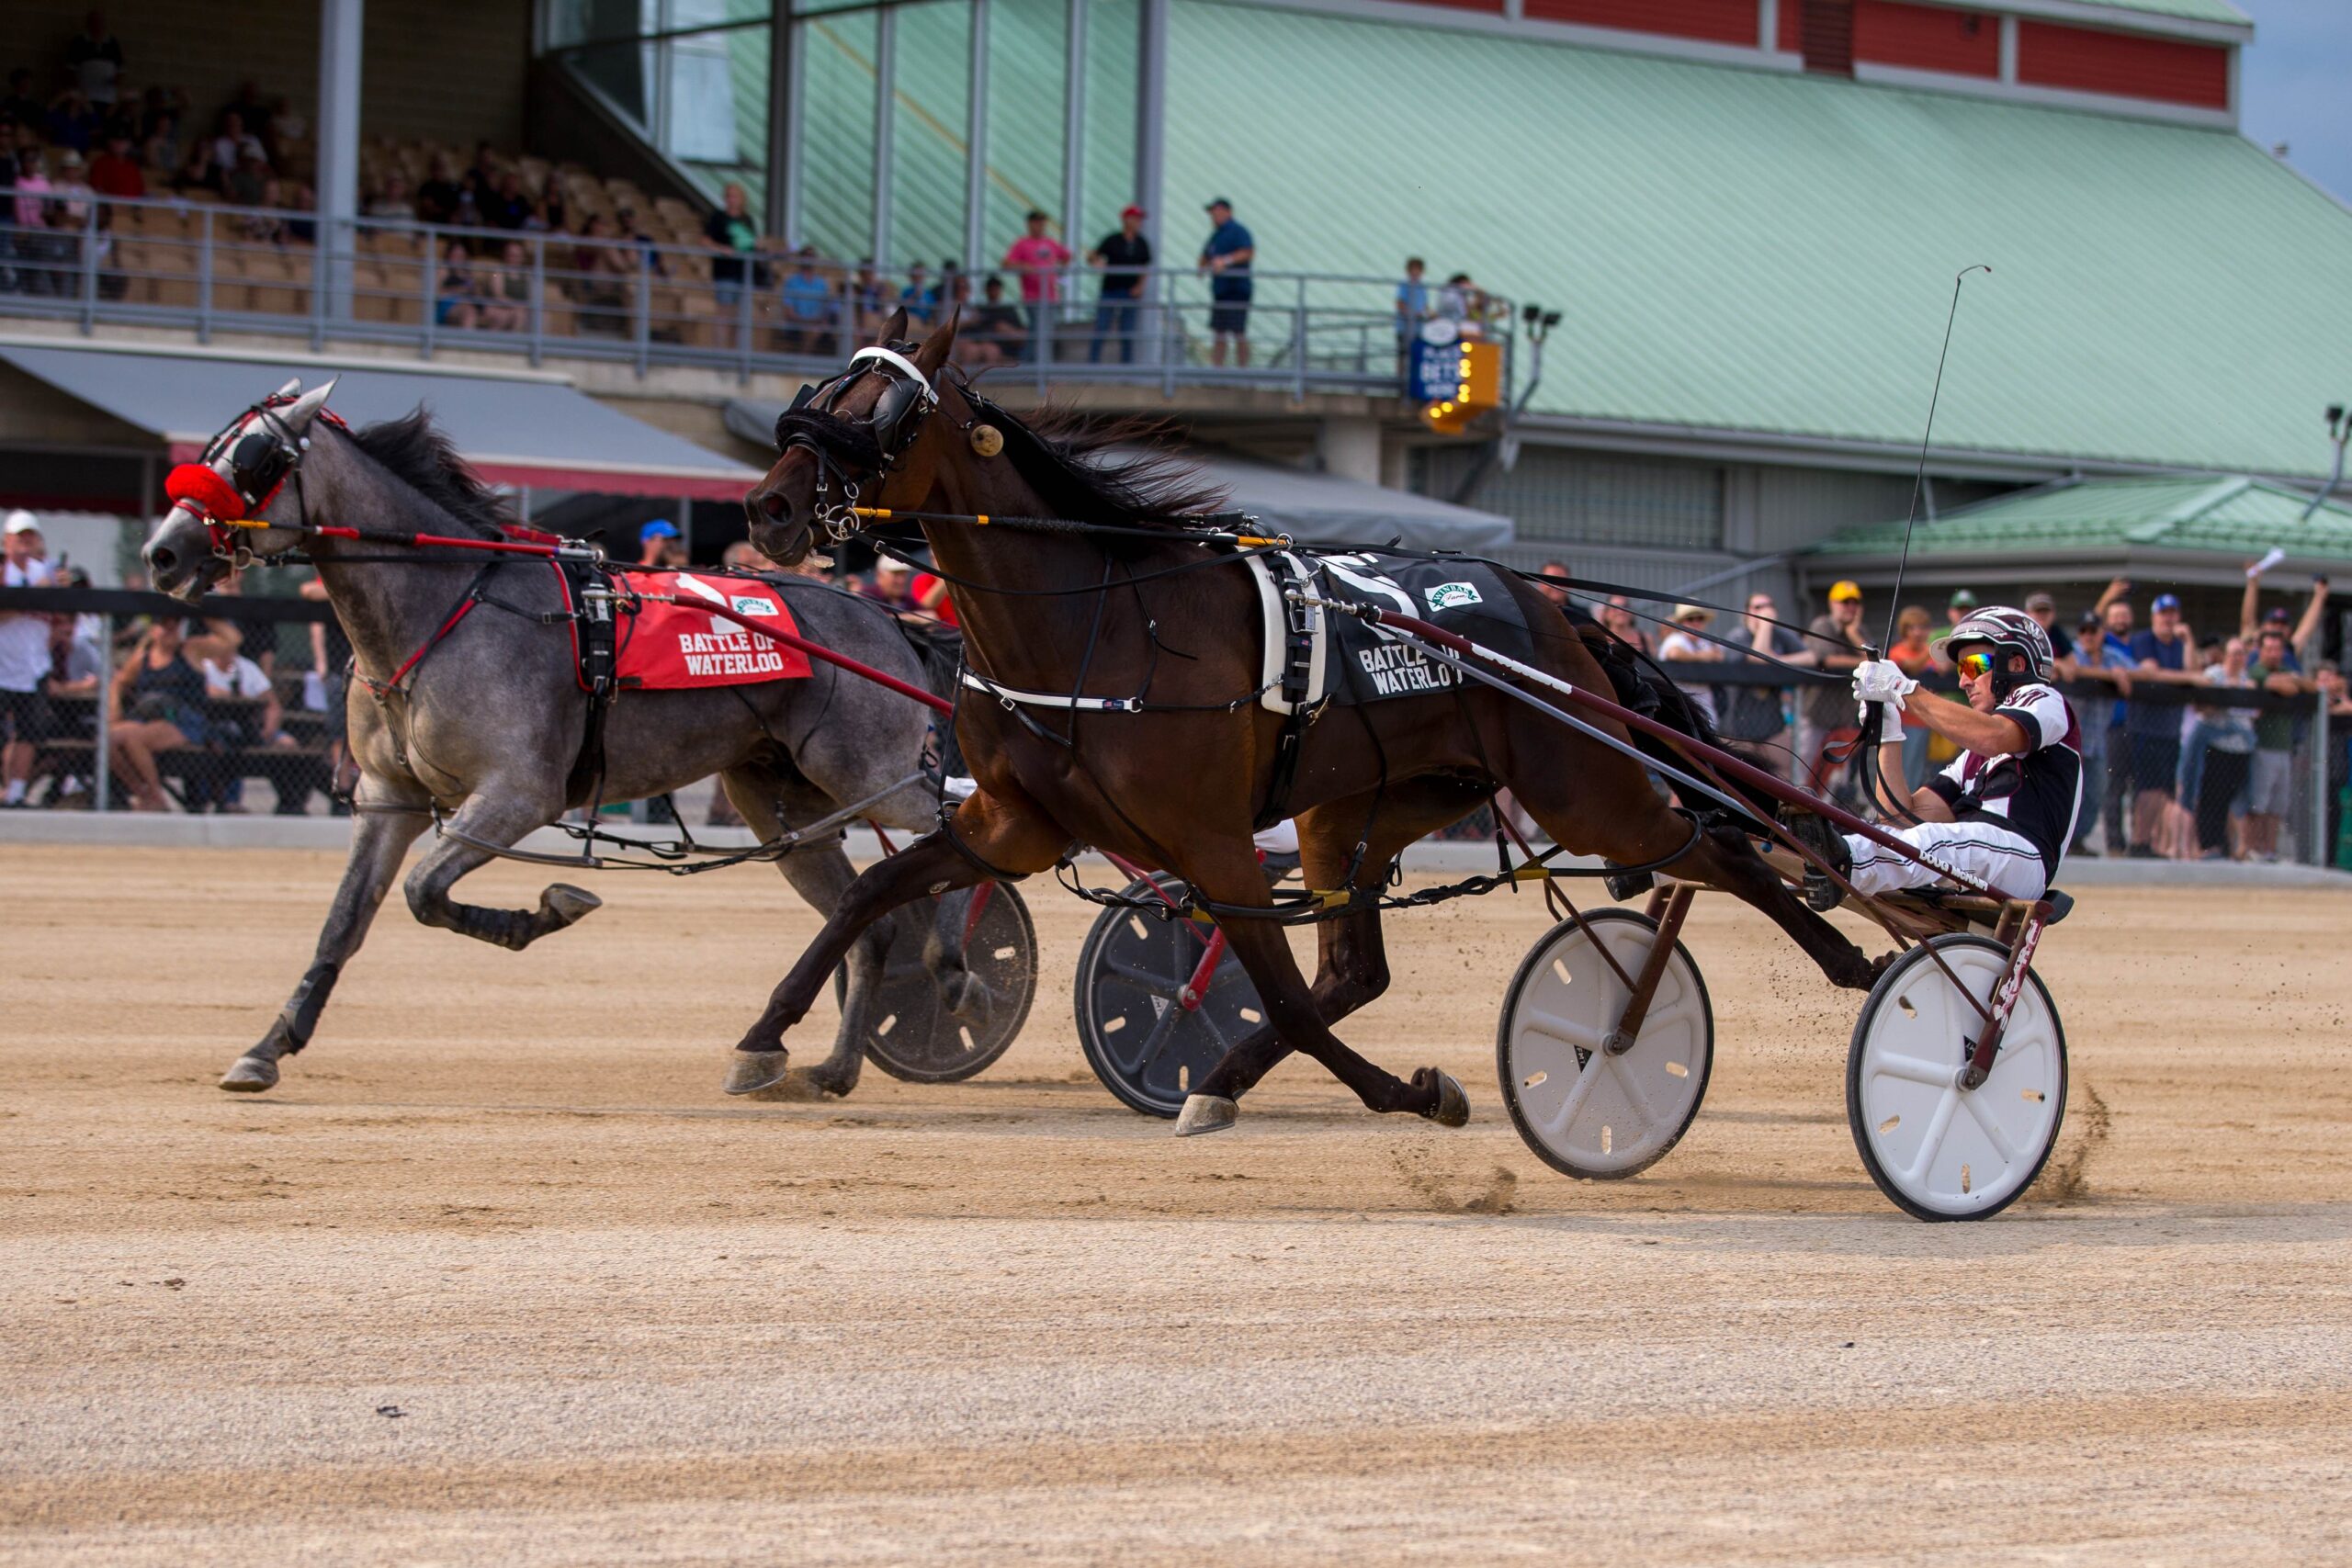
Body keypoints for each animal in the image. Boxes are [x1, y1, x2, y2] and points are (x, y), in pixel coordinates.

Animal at [140, 378, 983, 1100]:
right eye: (213, 446)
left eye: (254, 458)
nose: (162, 552)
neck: (449, 606)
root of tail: (881, 616)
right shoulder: (387, 797)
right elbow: (345, 922)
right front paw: (268, 1047)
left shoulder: (516, 792)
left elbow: (424, 891)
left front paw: (545, 909)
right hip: (783, 803)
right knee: (868, 920)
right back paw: (825, 1065)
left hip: (867, 765)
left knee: (955, 831)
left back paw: (953, 965)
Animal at [733, 312, 1871, 1133]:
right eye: (818, 392)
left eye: (883, 412)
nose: (768, 511)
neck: (1098, 624)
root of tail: (1545, 608)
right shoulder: (1010, 825)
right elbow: (865, 896)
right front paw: (767, 1036)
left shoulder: (1211, 843)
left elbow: (1275, 993)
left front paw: (1381, 1090)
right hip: (1360, 812)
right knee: (1358, 968)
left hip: (1581, 789)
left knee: (1715, 845)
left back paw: (1849, 960)